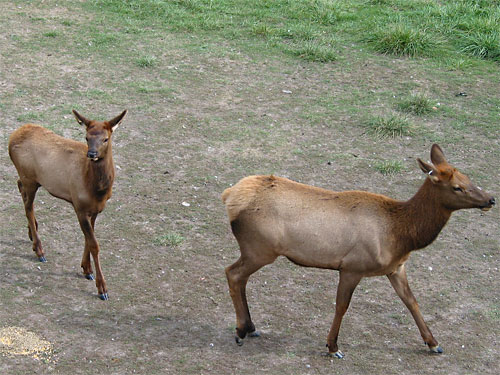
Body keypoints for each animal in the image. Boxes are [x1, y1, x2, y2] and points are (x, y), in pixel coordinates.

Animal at [8, 110, 127, 302]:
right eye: (86, 137)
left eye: (106, 138)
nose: (91, 153)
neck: (98, 190)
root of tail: (11, 138)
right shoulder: (79, 206)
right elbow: (94, 244)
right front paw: (102, 288)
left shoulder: (95, 209)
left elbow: (88, 239)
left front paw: (86, 269)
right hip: (28, 177)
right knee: (28, 205)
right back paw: (39, 250)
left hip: (29, 179)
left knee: (20, 188)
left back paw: (32, 233)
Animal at [224, 144, 496, 358]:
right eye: (457, 187)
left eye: (469, 178)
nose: (491, 199)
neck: (402, 235)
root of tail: (229, 197)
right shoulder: (352, 267)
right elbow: (341, 306)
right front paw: (333, 347)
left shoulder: (396, 268)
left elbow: (411, 301)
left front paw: (433, 343)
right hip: (260, 249)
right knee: (232, 273)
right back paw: (241, 330)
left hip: (257, 251)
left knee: (239, 277)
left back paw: (250, 327)